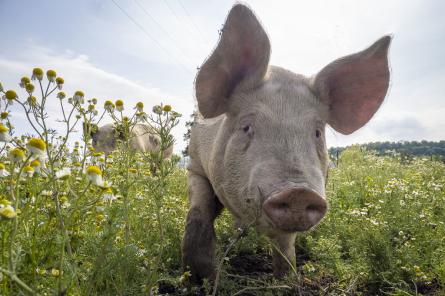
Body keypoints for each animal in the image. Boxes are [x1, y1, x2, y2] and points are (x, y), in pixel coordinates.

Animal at [180, 4, 388, 282]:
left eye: (317, 132)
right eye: (247, 127)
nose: (298, 192)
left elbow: (285, 245)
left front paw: (286, 281)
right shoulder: (195, 165)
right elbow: (198, 213)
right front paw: (201, 279)